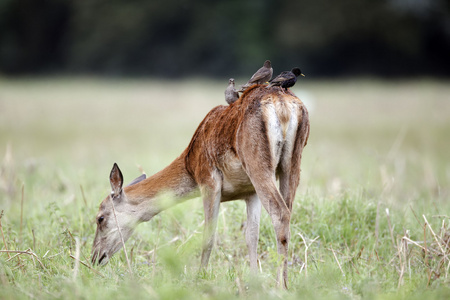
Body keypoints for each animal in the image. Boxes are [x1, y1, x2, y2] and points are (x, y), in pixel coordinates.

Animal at [91, 84, 310, 288]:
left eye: (100, 218)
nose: (94, 257)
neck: (190, 164)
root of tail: (282, 105)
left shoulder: (208, 182)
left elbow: (208, 236)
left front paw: (200, 278)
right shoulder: (250, 193)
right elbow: (251, 236)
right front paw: (253, 281)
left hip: (259, 166)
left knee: (280, 213)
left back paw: (281, 285)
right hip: (291, 165)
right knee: (287, 212)